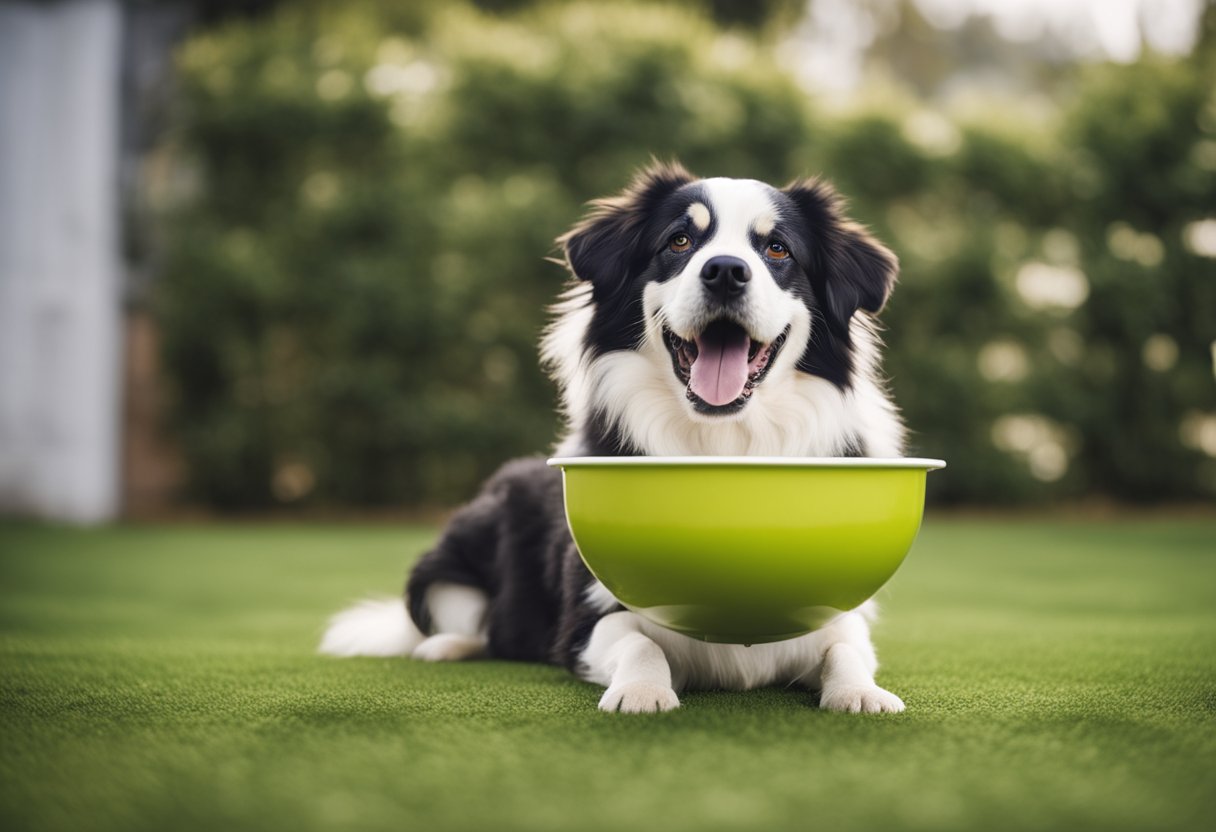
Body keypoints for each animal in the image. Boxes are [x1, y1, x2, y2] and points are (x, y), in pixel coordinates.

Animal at [318, 162, 909, 715]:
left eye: (777, 248)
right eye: (679, 241)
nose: (724, 271)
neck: (720, 439)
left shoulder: (836, 613)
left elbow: (846, 646)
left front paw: (862, 694)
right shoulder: (588, 618)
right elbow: (639, 643)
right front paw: (642, 693)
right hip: (451, 560)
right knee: (464, 621)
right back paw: (448, 646)